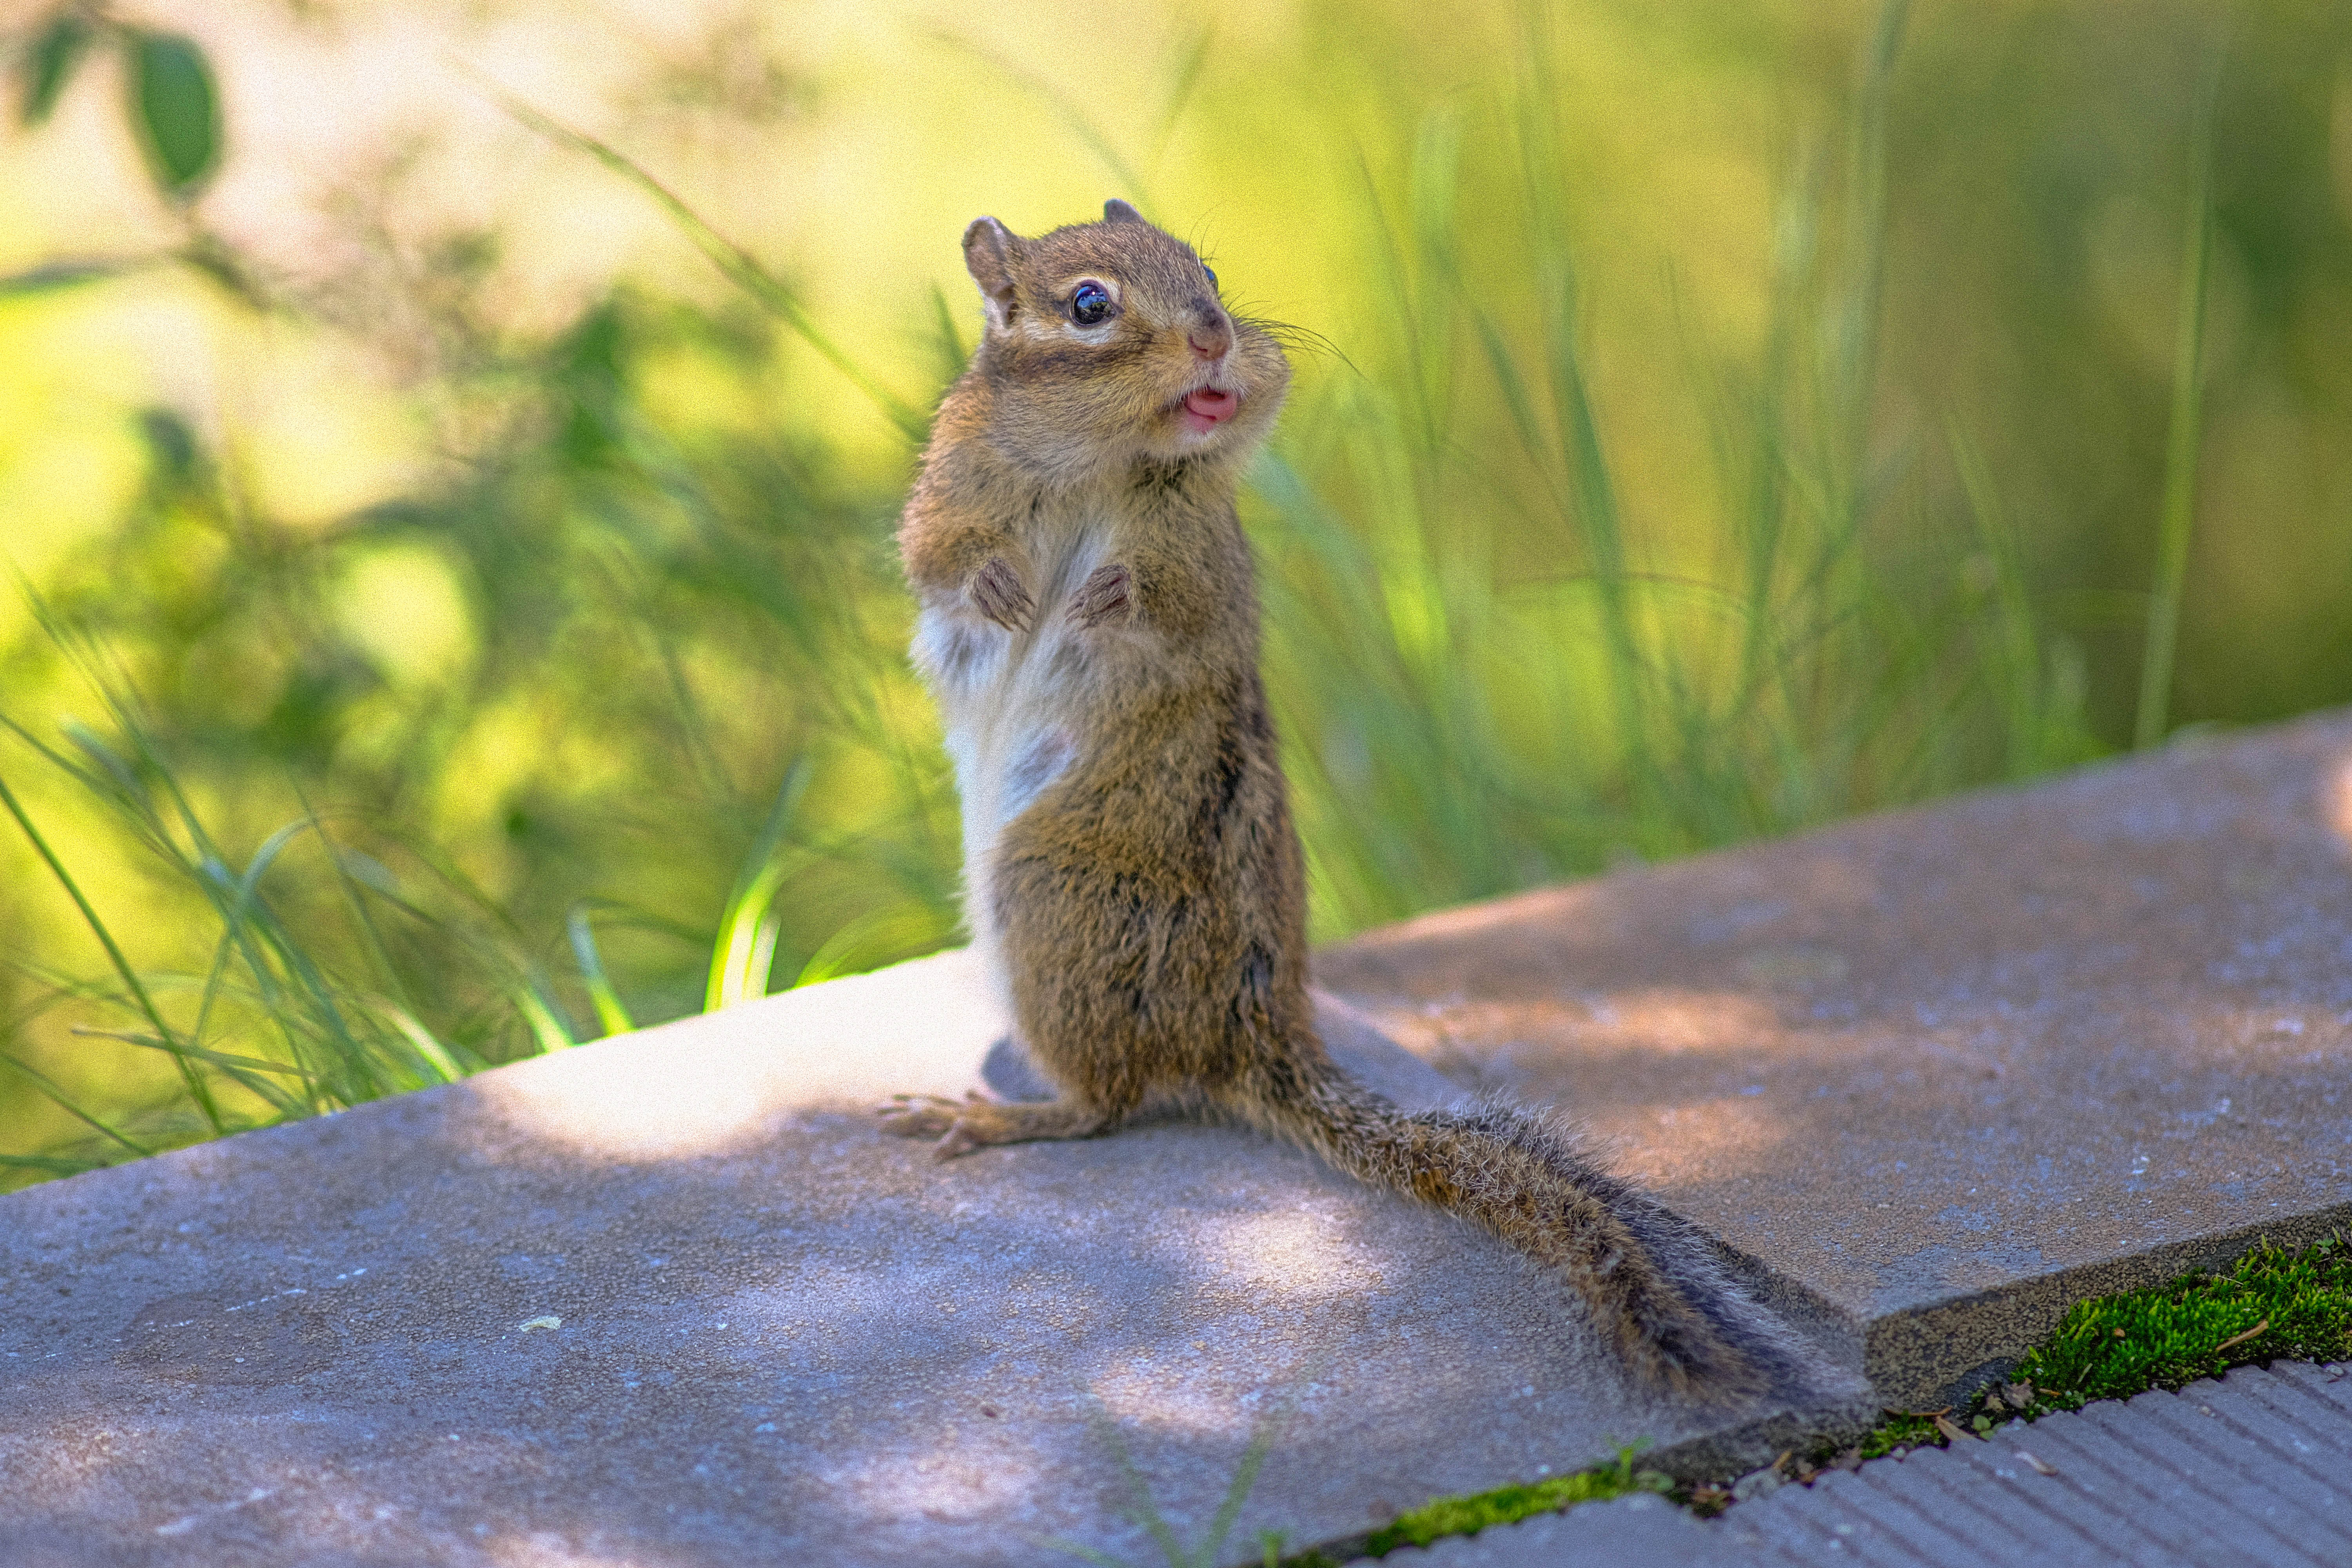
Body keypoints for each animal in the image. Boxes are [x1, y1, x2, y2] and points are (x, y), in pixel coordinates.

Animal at [880, 200, 1798, 1404]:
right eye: (1089, 305)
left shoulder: (1205, 552)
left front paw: (1106, 595)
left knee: (1109, 1104)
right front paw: (997, 583)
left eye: (1208, 270)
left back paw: (996, 1114)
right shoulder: (951, 485)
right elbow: (936, 558)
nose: (1217, 337)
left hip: (1046, 898)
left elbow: (1175, 607)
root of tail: (1253, 1036)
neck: (1101, 462)